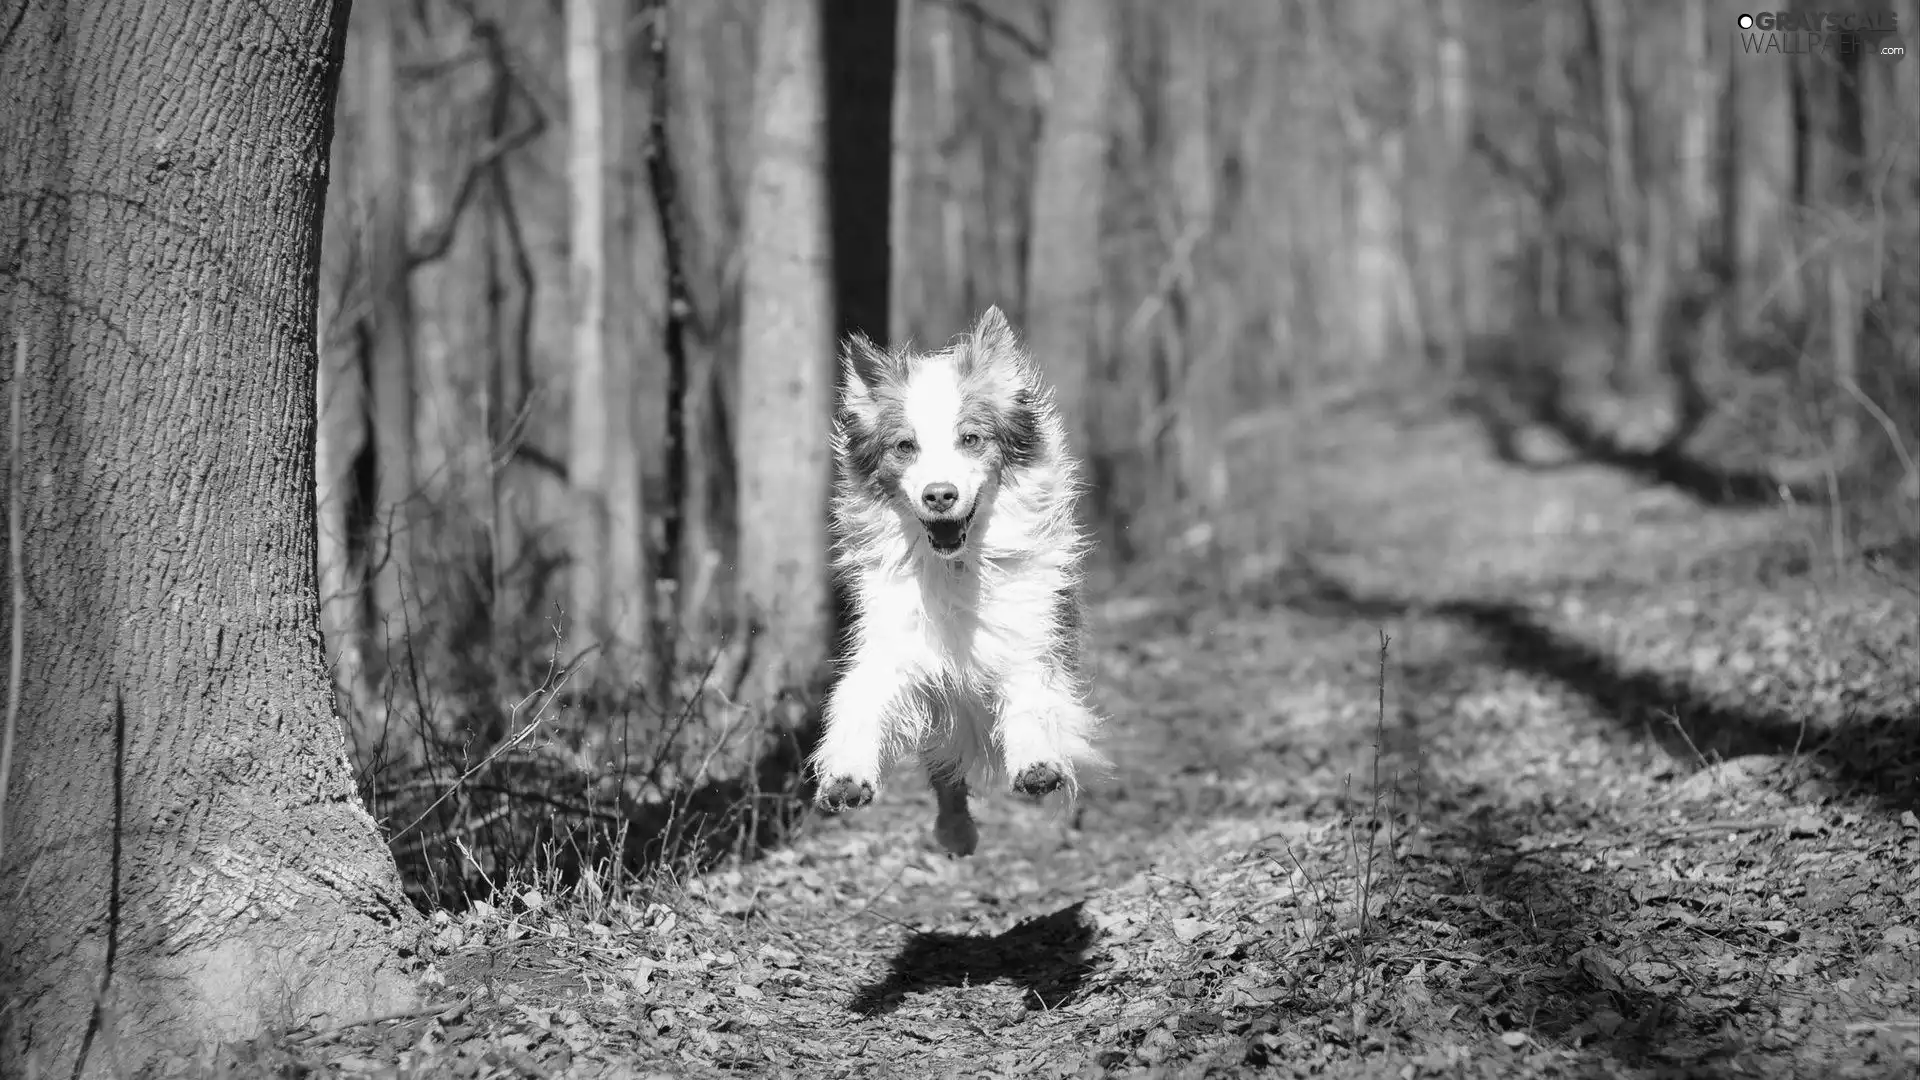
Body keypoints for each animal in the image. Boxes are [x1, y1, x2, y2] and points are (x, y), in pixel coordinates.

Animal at [810, 305, 1113, 857]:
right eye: (905, 446)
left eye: (970, 439)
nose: (939, 495)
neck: (957, 565)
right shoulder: (895, 648)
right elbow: (860, 702)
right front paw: (845, 777)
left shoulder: (1027, 639)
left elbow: (1031, 700)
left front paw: (1037, 765)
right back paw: (956, 832)